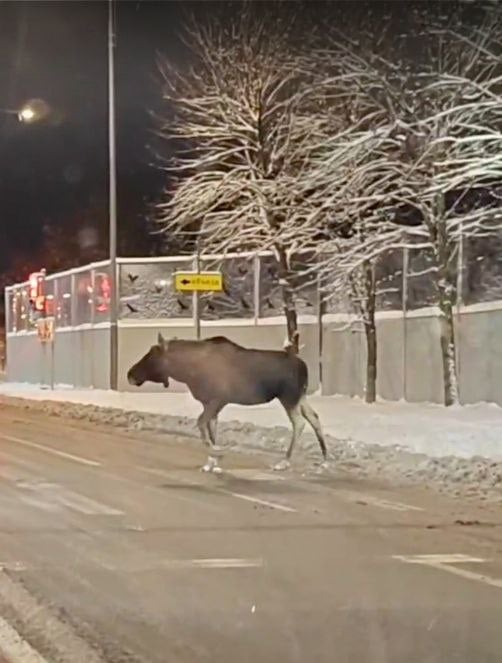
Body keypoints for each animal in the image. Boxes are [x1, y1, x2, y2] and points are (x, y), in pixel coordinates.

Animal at [127, 338, 328, 472]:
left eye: (151, 355)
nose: (130, 374)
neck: (187, 371)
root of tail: (304, 367)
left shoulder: (218, 399)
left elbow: (201, 424)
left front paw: (218, 453)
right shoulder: (210, 403)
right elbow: (211, 429)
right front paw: (212, 462)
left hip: (288, 397)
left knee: (299, 422)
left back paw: (284, 461)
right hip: (300, 397)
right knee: (314, 417)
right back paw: (325, 459)